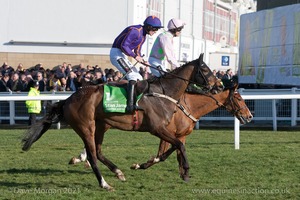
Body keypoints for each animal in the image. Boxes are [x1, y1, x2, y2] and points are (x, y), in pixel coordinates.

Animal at [21, 53, 223, 191]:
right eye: (205, 69)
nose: (219, 85)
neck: (162, 93)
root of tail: (68, 99)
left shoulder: (167, 130)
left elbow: (176, 146)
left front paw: (176, 169)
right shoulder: (157, 128)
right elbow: (179, 146)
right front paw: (186, 171)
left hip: (100, 126)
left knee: (98, 153)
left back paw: (118, 172)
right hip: (86, 128)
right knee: (93, 156)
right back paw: (104, 183)